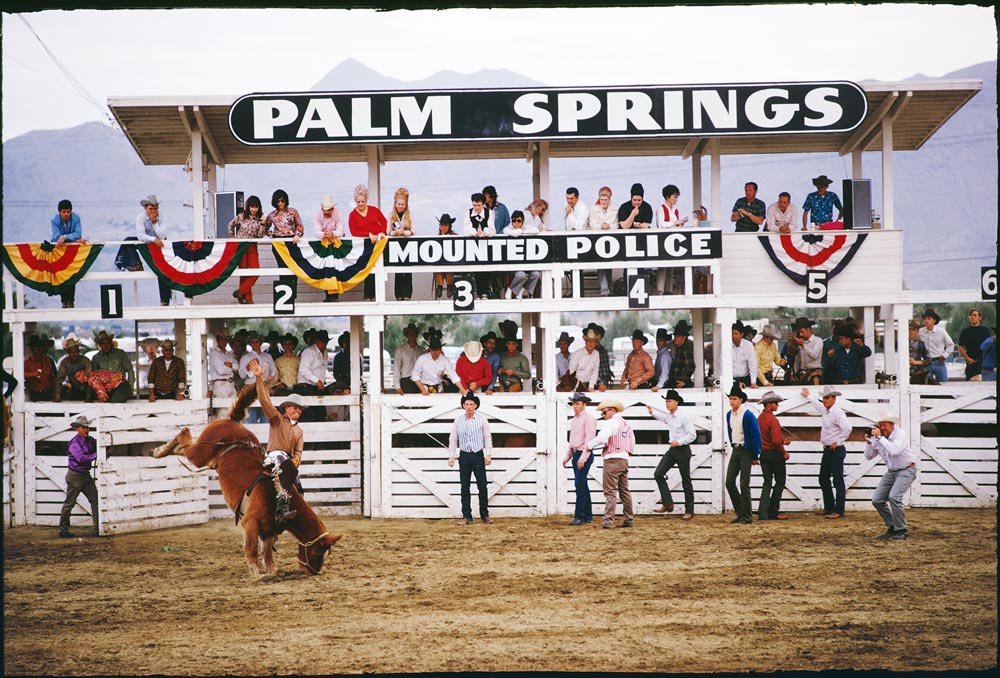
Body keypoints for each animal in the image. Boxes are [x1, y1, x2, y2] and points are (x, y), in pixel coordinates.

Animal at [151, 386, 340, 580]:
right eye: (317, 551)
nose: (314, 572)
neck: (275, 499)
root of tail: (232, 422)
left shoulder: (268, 532)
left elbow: (267, 554)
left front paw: (271, 572)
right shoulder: (249, 523)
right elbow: (252, 550)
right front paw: (256, 574)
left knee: (182, 447)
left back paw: (163, 450)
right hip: (200, 454)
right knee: (184, 437)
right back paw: (160, 450)